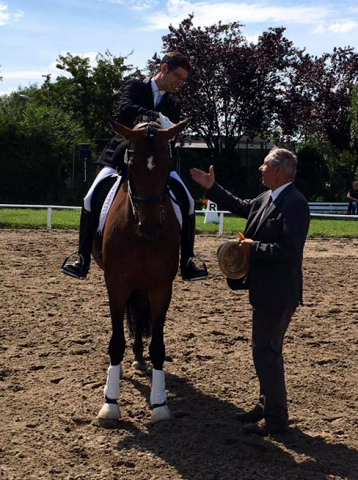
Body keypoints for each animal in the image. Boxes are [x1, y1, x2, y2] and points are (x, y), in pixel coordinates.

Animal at [94, 116, 190, 428]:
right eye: (131, 166)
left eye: (166, 165)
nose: (149, 226)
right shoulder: (116, 284)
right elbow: (115, 341)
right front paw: (110, 403)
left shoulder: (161, 287)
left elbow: (158, 344)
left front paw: (159, 404)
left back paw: (137, 357)